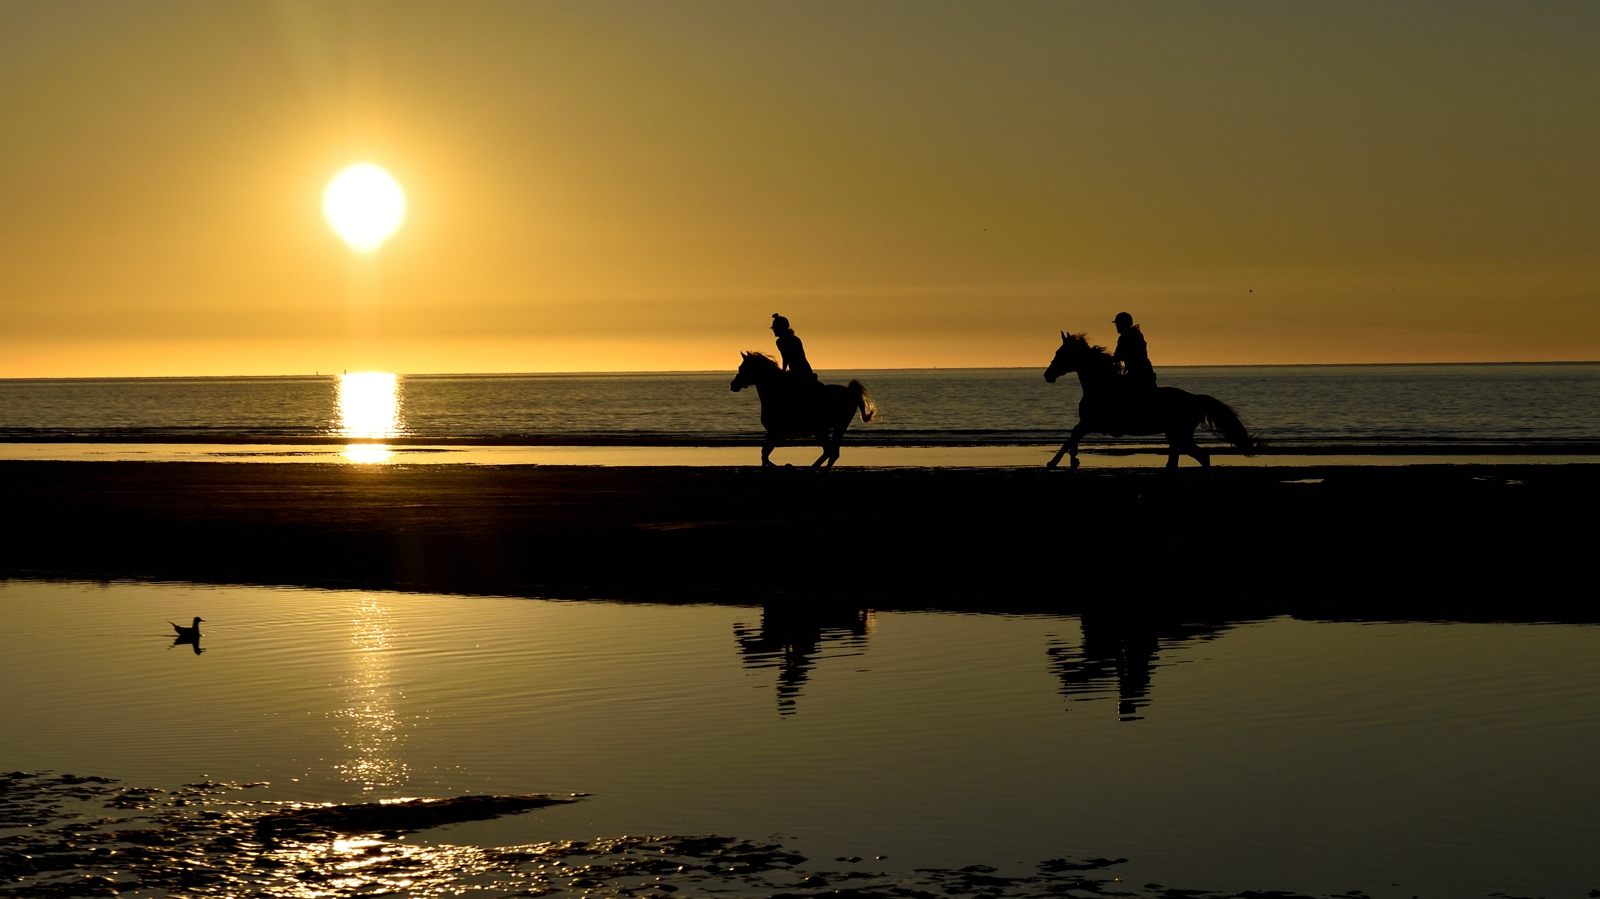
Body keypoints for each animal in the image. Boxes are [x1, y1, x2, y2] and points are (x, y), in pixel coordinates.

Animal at [732, 350, 883, 463]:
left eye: (742, 368)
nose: (733, 385)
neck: (776, 392)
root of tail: (850, 393)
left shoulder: (776, 432)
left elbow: (765, 455)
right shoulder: (773, 432)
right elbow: (764, 454)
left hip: (828, 428)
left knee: (831, 452)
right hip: (830, 429)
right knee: (831, 453)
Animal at [1043, 329, 1254, 470]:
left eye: (1060, 353)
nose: (1047, 375)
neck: (1101, 384)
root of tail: (1195, 399)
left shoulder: (1091, 422)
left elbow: (1070, 438)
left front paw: (1054, 462)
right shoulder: (1087, 423)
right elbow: (1072, 437)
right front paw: (1073, 459)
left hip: (1180, 435)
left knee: (1201, 456)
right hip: (1176, 436)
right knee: (1181, 460)